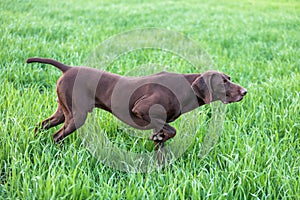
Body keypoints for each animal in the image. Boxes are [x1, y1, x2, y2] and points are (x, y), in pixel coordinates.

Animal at [26, 57, 246, 148]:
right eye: (223, 82)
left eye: (229, 78)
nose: (245, 92)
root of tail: (68, 69)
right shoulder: (142, 109)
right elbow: (171, 131)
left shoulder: (158, 123)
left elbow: (162, 140)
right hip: (77, 116)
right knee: (57, 135)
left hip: (63, 112)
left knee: (41, 125)